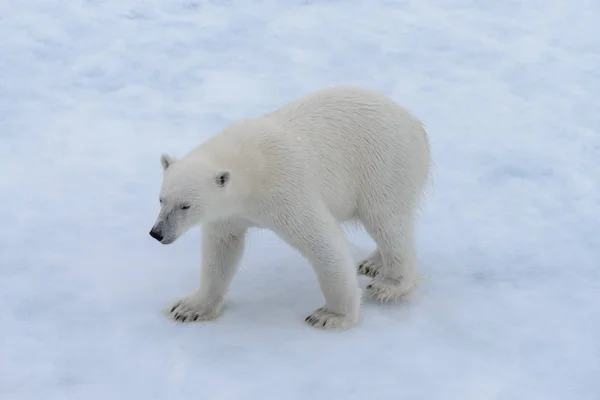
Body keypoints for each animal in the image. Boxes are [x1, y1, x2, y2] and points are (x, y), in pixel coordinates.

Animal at [150, 86, 432, 330]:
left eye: (186, 206)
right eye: (161, 199)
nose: (157, 233)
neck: (251, 162)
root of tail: (415, 122)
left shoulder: (285, 188)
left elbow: (322, 242)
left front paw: (330, 316)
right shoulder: (230, 213)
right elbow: (221, 250)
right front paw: (189, 308)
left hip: (384, 164)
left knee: (386, 221)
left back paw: (389, 284)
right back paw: (372, 263)